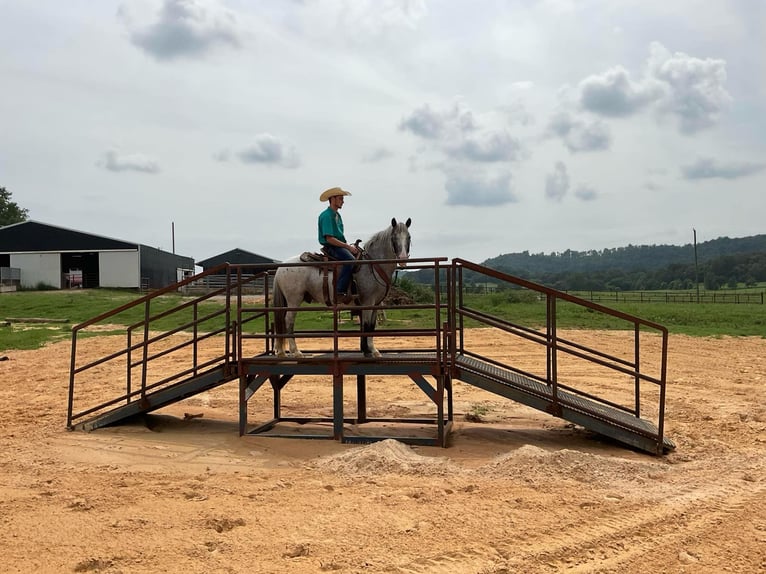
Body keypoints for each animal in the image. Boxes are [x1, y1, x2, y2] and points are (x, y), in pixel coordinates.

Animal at [272, 217, 412, 358]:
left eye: (409, 237)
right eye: (393, 237)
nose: (403, 258)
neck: (372, 266)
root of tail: (281, 267)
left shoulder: (376, 304)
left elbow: (371, 327)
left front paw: (373, 350)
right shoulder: (368, 302)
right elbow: (366, 326)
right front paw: (368, 351)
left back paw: (281, 351)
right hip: (294, 300)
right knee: (288, 321)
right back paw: (296, 352)